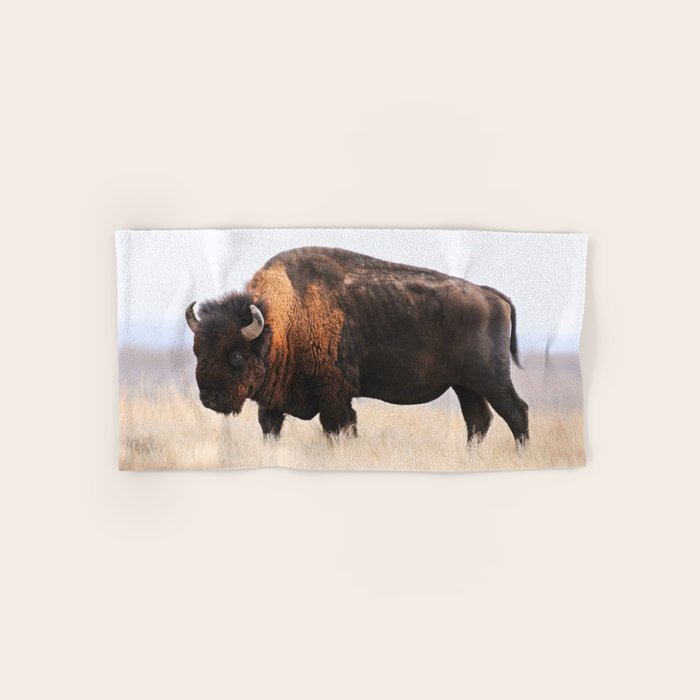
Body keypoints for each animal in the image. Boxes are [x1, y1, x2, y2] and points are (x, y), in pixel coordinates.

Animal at [186, 247, 528, 446]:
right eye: (197, 351)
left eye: (236, 354)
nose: (209, 398)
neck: (282, 320)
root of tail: (491, 295)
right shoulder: (273, 402)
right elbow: (271, 429)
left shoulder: (335, 394)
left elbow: (339, 429)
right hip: (465, 385)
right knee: (478, 421)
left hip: (491, 379)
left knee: (516, 411)